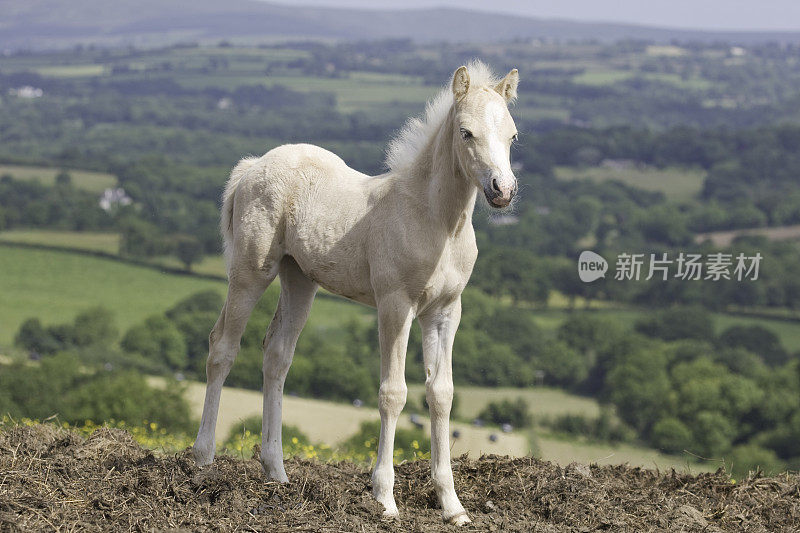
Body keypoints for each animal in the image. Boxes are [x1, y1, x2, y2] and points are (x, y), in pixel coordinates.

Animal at [193, 62, 520, 524]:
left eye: (512, 135)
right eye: (466, 132)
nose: (502, 190)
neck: (435, 220)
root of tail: (253, 166)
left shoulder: (445, 311)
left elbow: (441, 393)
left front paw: (452, 506)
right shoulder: (395, 305)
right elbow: (393, 393)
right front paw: (384, 499)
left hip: (299, 279)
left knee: (276, 355)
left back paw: (277, 472)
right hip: (250, 272)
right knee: (222, 346)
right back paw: (204, 460)